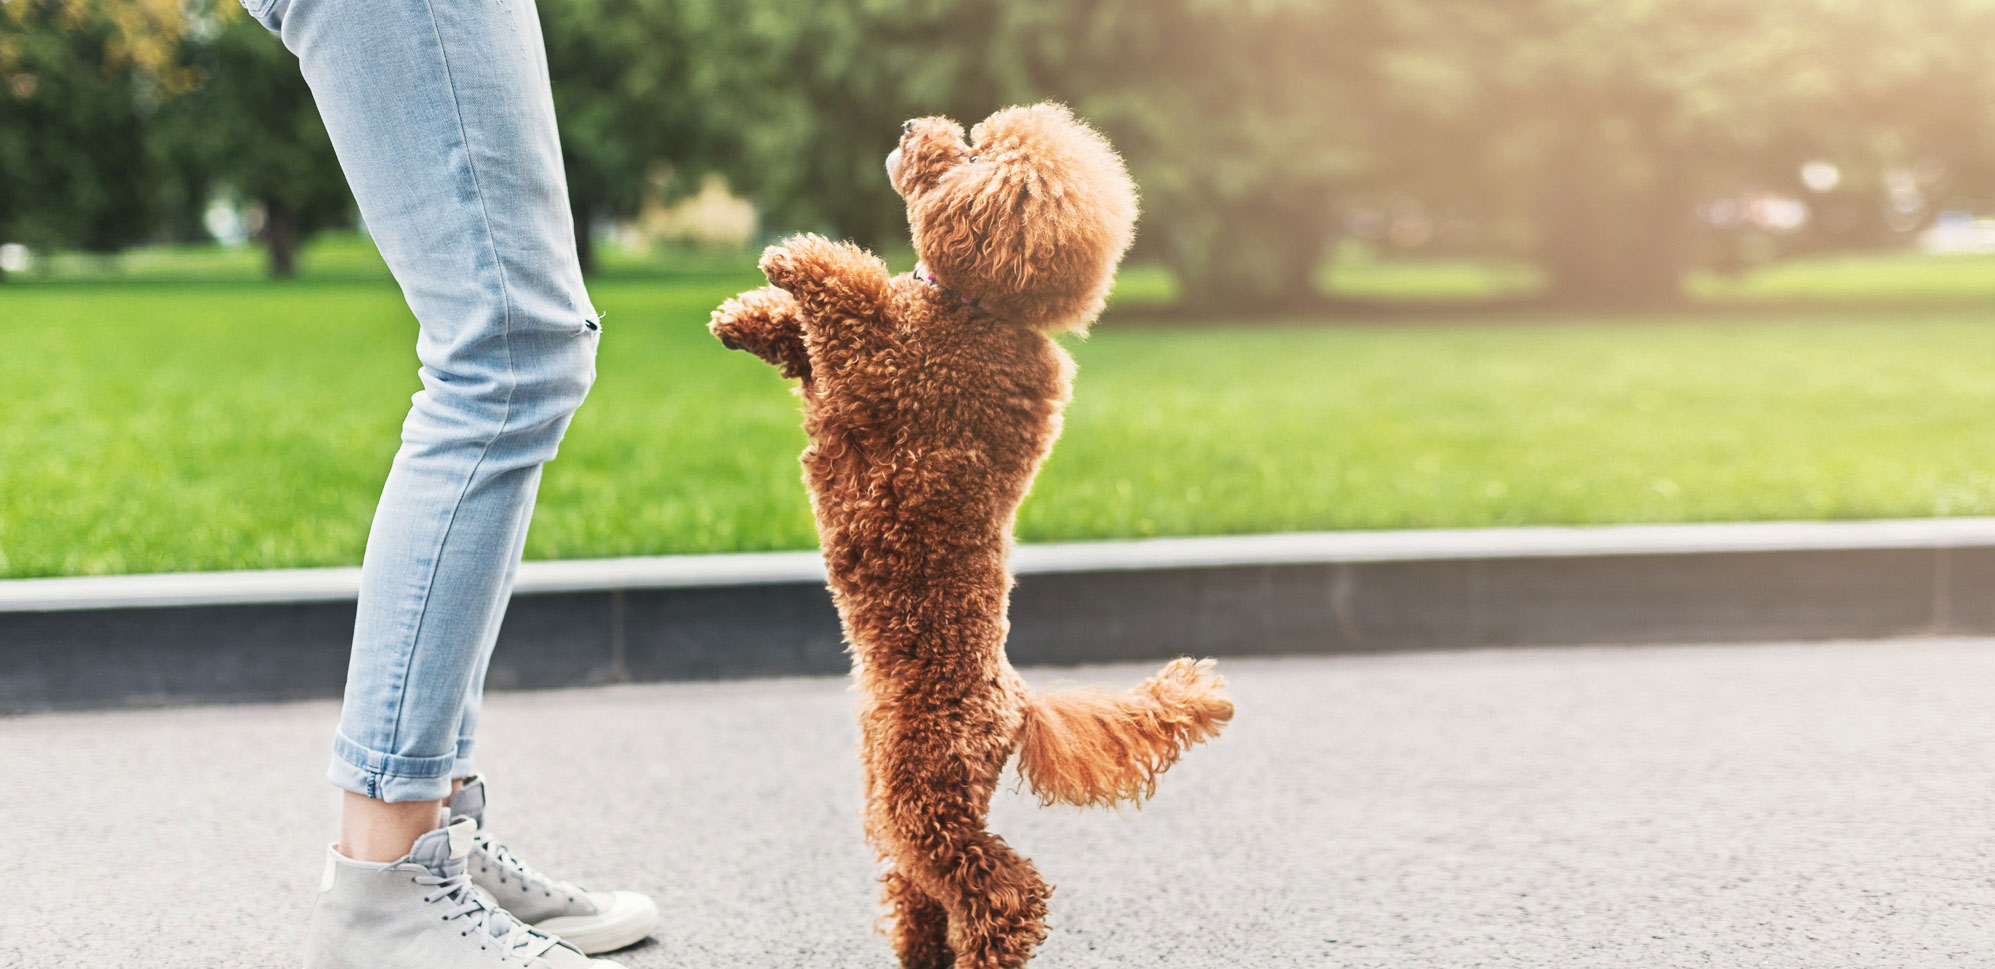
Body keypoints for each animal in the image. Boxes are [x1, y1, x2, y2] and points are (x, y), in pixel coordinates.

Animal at [702, 102, 1228, 965]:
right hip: (897, 795)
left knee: (999, 889)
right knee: (922, 887)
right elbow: (804, 345)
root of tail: (1014, 703)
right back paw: (921, 948)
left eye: (973, 153)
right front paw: (746, 316)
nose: (911, 124)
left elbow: (851, 304)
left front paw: (800, 255)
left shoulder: (891, 375)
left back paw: (986, 941)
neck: (976, 308)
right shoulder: (844, 386)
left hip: (925, 790)